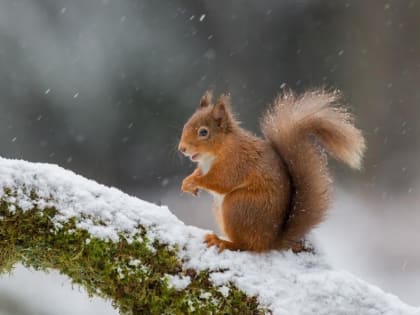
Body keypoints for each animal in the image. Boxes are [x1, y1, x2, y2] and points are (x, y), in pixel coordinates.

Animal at [177, 89, 364, 254]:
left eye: (203, 132)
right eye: (185, 125)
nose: (182, 149)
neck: (218, 149)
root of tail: (272, 240)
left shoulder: (236, 162)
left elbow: (221, 181)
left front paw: (195, 182)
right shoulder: (205, 166)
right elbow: (199, 172)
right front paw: (187, 182)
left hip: (237, 206)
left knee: (249, 246)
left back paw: (223, 242)